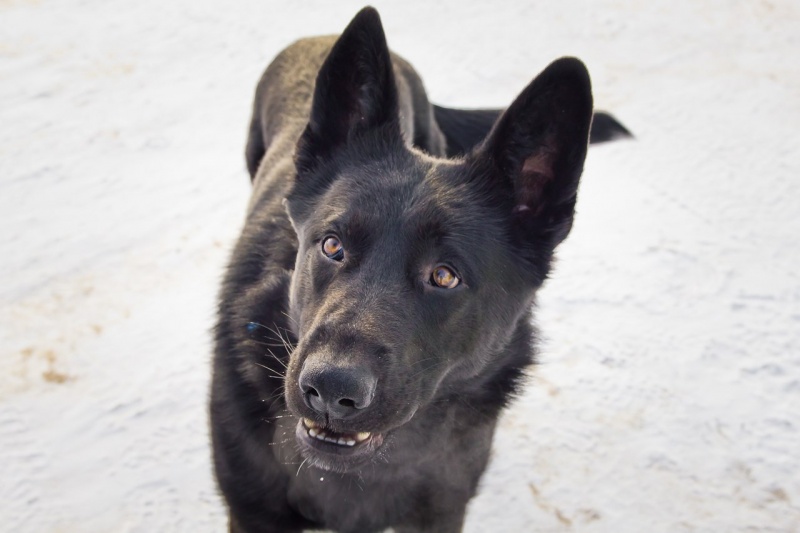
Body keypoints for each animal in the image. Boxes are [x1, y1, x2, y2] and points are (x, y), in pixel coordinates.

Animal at [210, 7, 628, 532]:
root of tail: (319, 36)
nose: (330, 389)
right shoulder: (252, 512)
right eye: (332, 246)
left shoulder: (440, 512)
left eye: (444, 276)